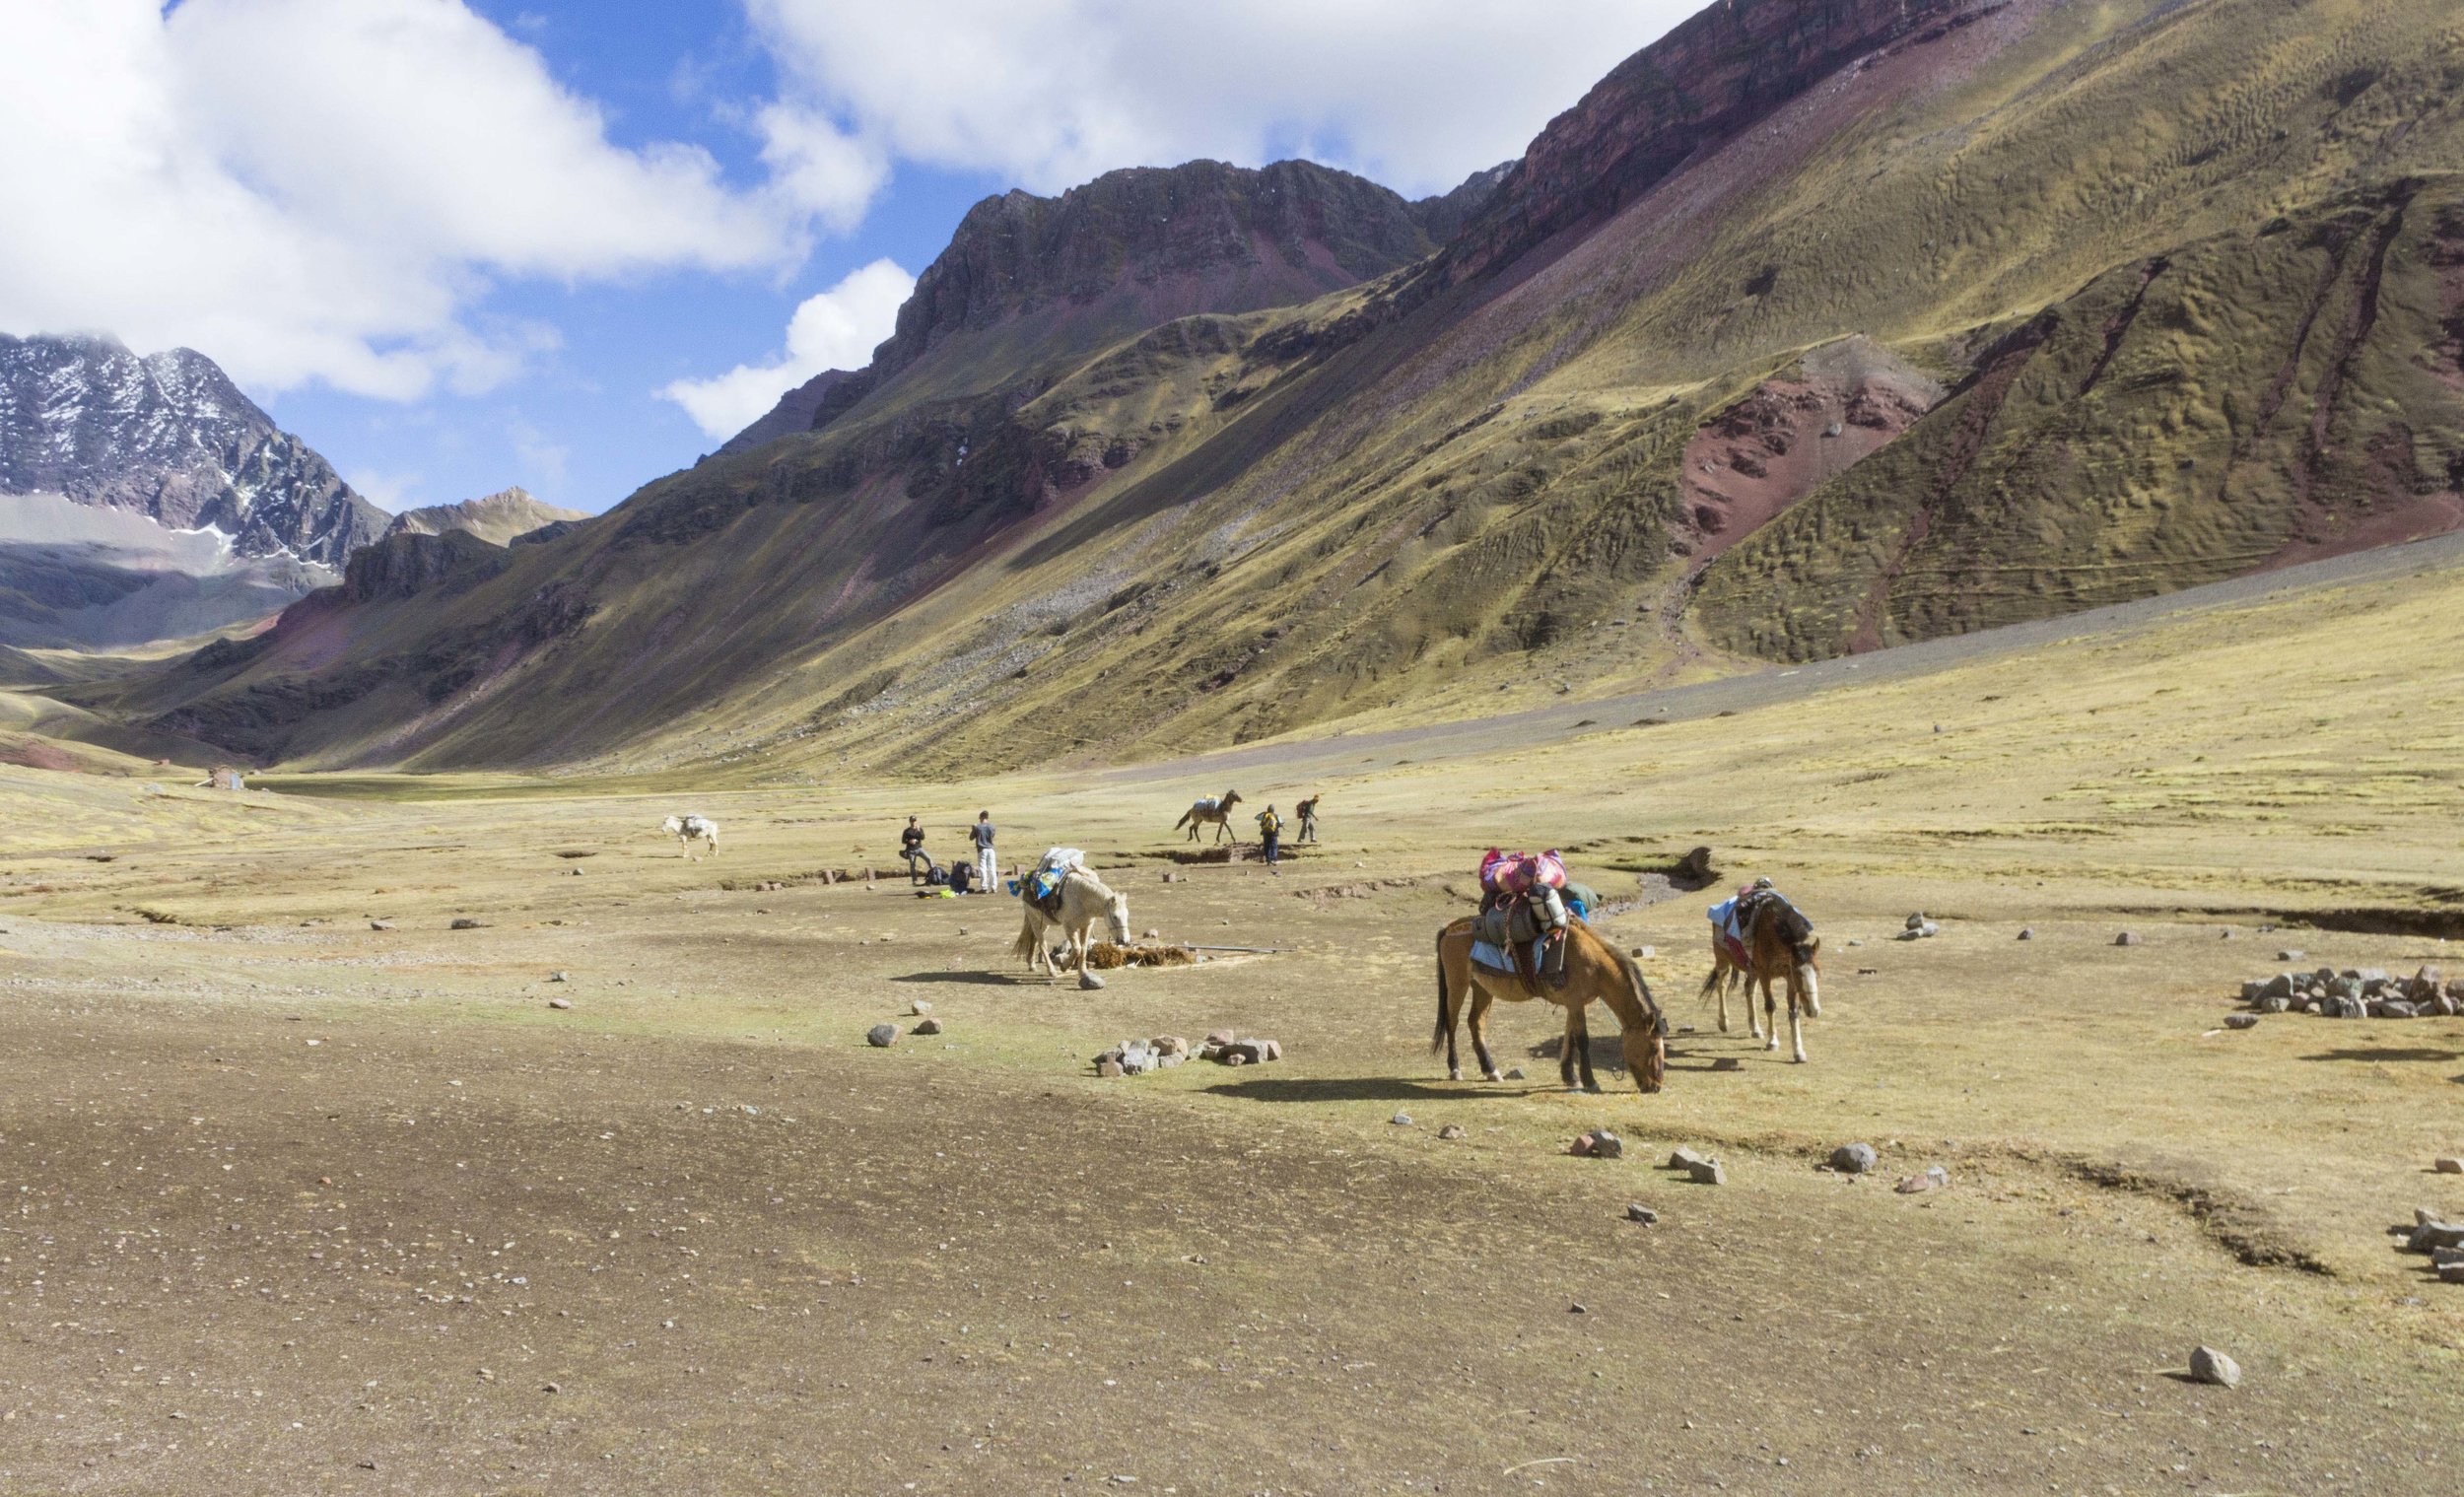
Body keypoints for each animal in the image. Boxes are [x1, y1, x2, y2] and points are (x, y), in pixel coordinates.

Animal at [1439, 916, 1666, 1093]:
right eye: (1654, 1048)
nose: (1656, 1087)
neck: (1593, 964)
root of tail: (1449, 928)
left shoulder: (1575, 1004)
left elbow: (1570, 1037)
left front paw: (1570, 1076)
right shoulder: (1576, 1003)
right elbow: (1582, 1040)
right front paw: (1590, 1081)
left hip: (1482, 988)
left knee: (1475, 1023)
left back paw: (1491, 1071)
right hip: (1457, 983)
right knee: (1452, 1022)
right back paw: (1455, 1069)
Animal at [1705, 896, 1823, 1058]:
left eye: (1817, 972)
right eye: (1799, 973)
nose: (1814, 1010)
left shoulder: (1788, 978)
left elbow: (1793, 1011)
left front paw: (1798, 1051)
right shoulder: (1766, 975)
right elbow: (1770, 1006)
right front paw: (1772, 1041)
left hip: (1752, 970)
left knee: (1749, 989)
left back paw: (1755, 1028)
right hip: (1722, 960)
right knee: (1720, 985)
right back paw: (1724, 1022)